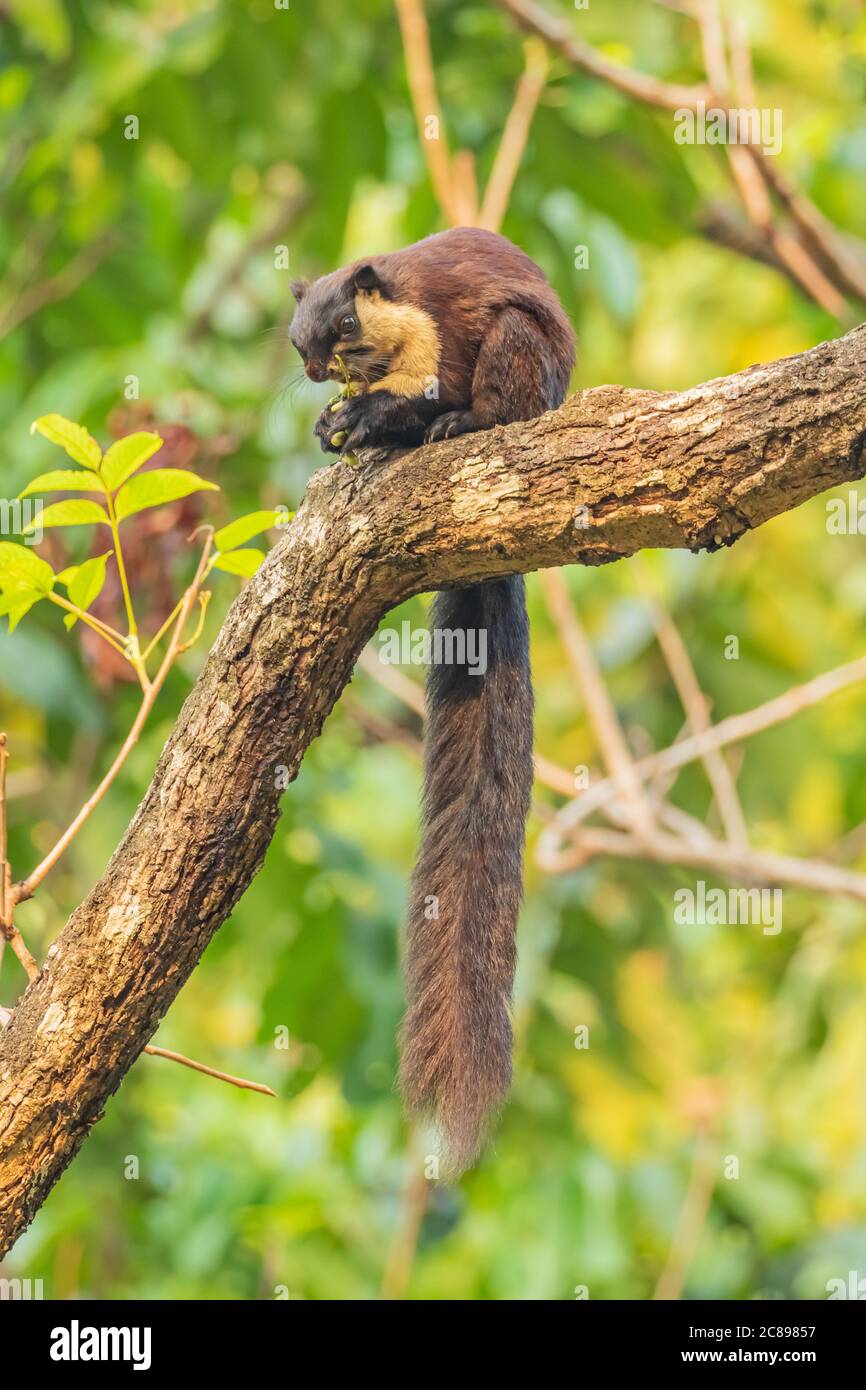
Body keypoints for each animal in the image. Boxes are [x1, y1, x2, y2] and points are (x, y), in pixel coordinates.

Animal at [291, 227, 575, 1173]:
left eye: (344, 320)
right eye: (297, 336)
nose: (320, 369)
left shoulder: (442, 331)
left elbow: (425, 387)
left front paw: (374, 418)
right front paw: (334, 424)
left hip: (523, 350)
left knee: (492, 409)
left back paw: (460, 425)